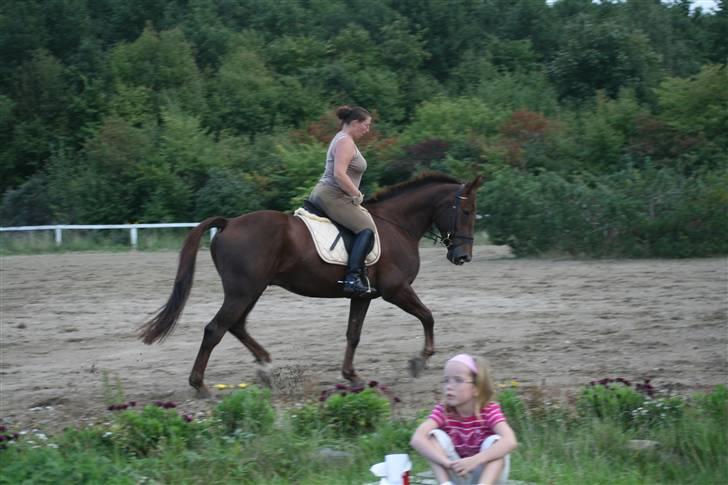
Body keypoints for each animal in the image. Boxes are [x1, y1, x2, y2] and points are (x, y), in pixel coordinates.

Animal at [141, 172, 484, 396]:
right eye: (466, 211)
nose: (463, 256)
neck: (397, 224)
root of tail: (229, 223)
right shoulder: (396, 290)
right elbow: (428, 316)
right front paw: (419, 361)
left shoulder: (364, 296)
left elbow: (353, 334)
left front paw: (352, 376)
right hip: (243, 291)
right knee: (215, 329)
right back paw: (200, 385)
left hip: (252, 290)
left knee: (235, 325)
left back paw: (267, 368)